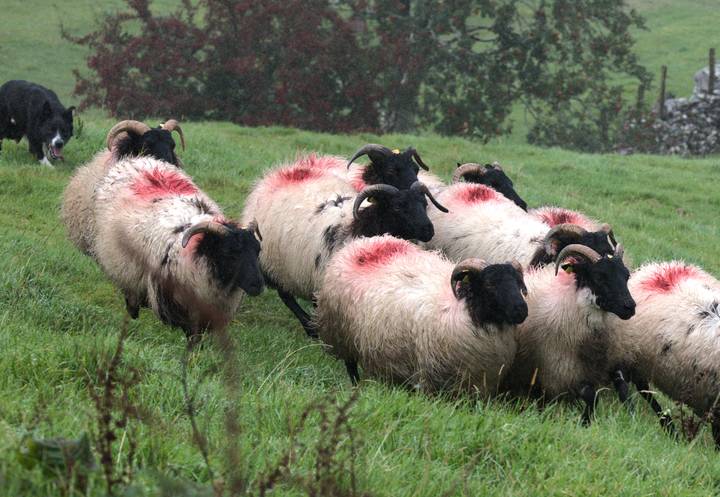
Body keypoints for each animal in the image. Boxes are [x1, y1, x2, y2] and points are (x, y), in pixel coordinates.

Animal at [88, 156, 263, 339]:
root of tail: (137, 159)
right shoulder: (172, 301)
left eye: (257, 251)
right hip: (122, 265)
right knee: (131, 295)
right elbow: (189, 331)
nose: (258, 285)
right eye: (229, 253)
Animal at [242, 153, 447, 337]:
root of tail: (281, 173)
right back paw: (310, 328)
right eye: (397, 207)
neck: (358, 225)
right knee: (286, 296)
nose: (428, 230)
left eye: (423, 203)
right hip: (275, 264)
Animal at [315, 235, 528, 393]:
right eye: (490, 284)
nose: (522, 310)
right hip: (341, 335)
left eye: (519, 283)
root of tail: (362, 243)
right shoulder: (429, 376)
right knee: (351, 367)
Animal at [502, 243, 635, 424]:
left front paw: (632, 416)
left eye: (626, 276)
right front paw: (586, 421)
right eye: (599, 276)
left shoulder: (610, 363)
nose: (630, 307)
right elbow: (591, 395)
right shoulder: (561, 374)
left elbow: (624, 390)